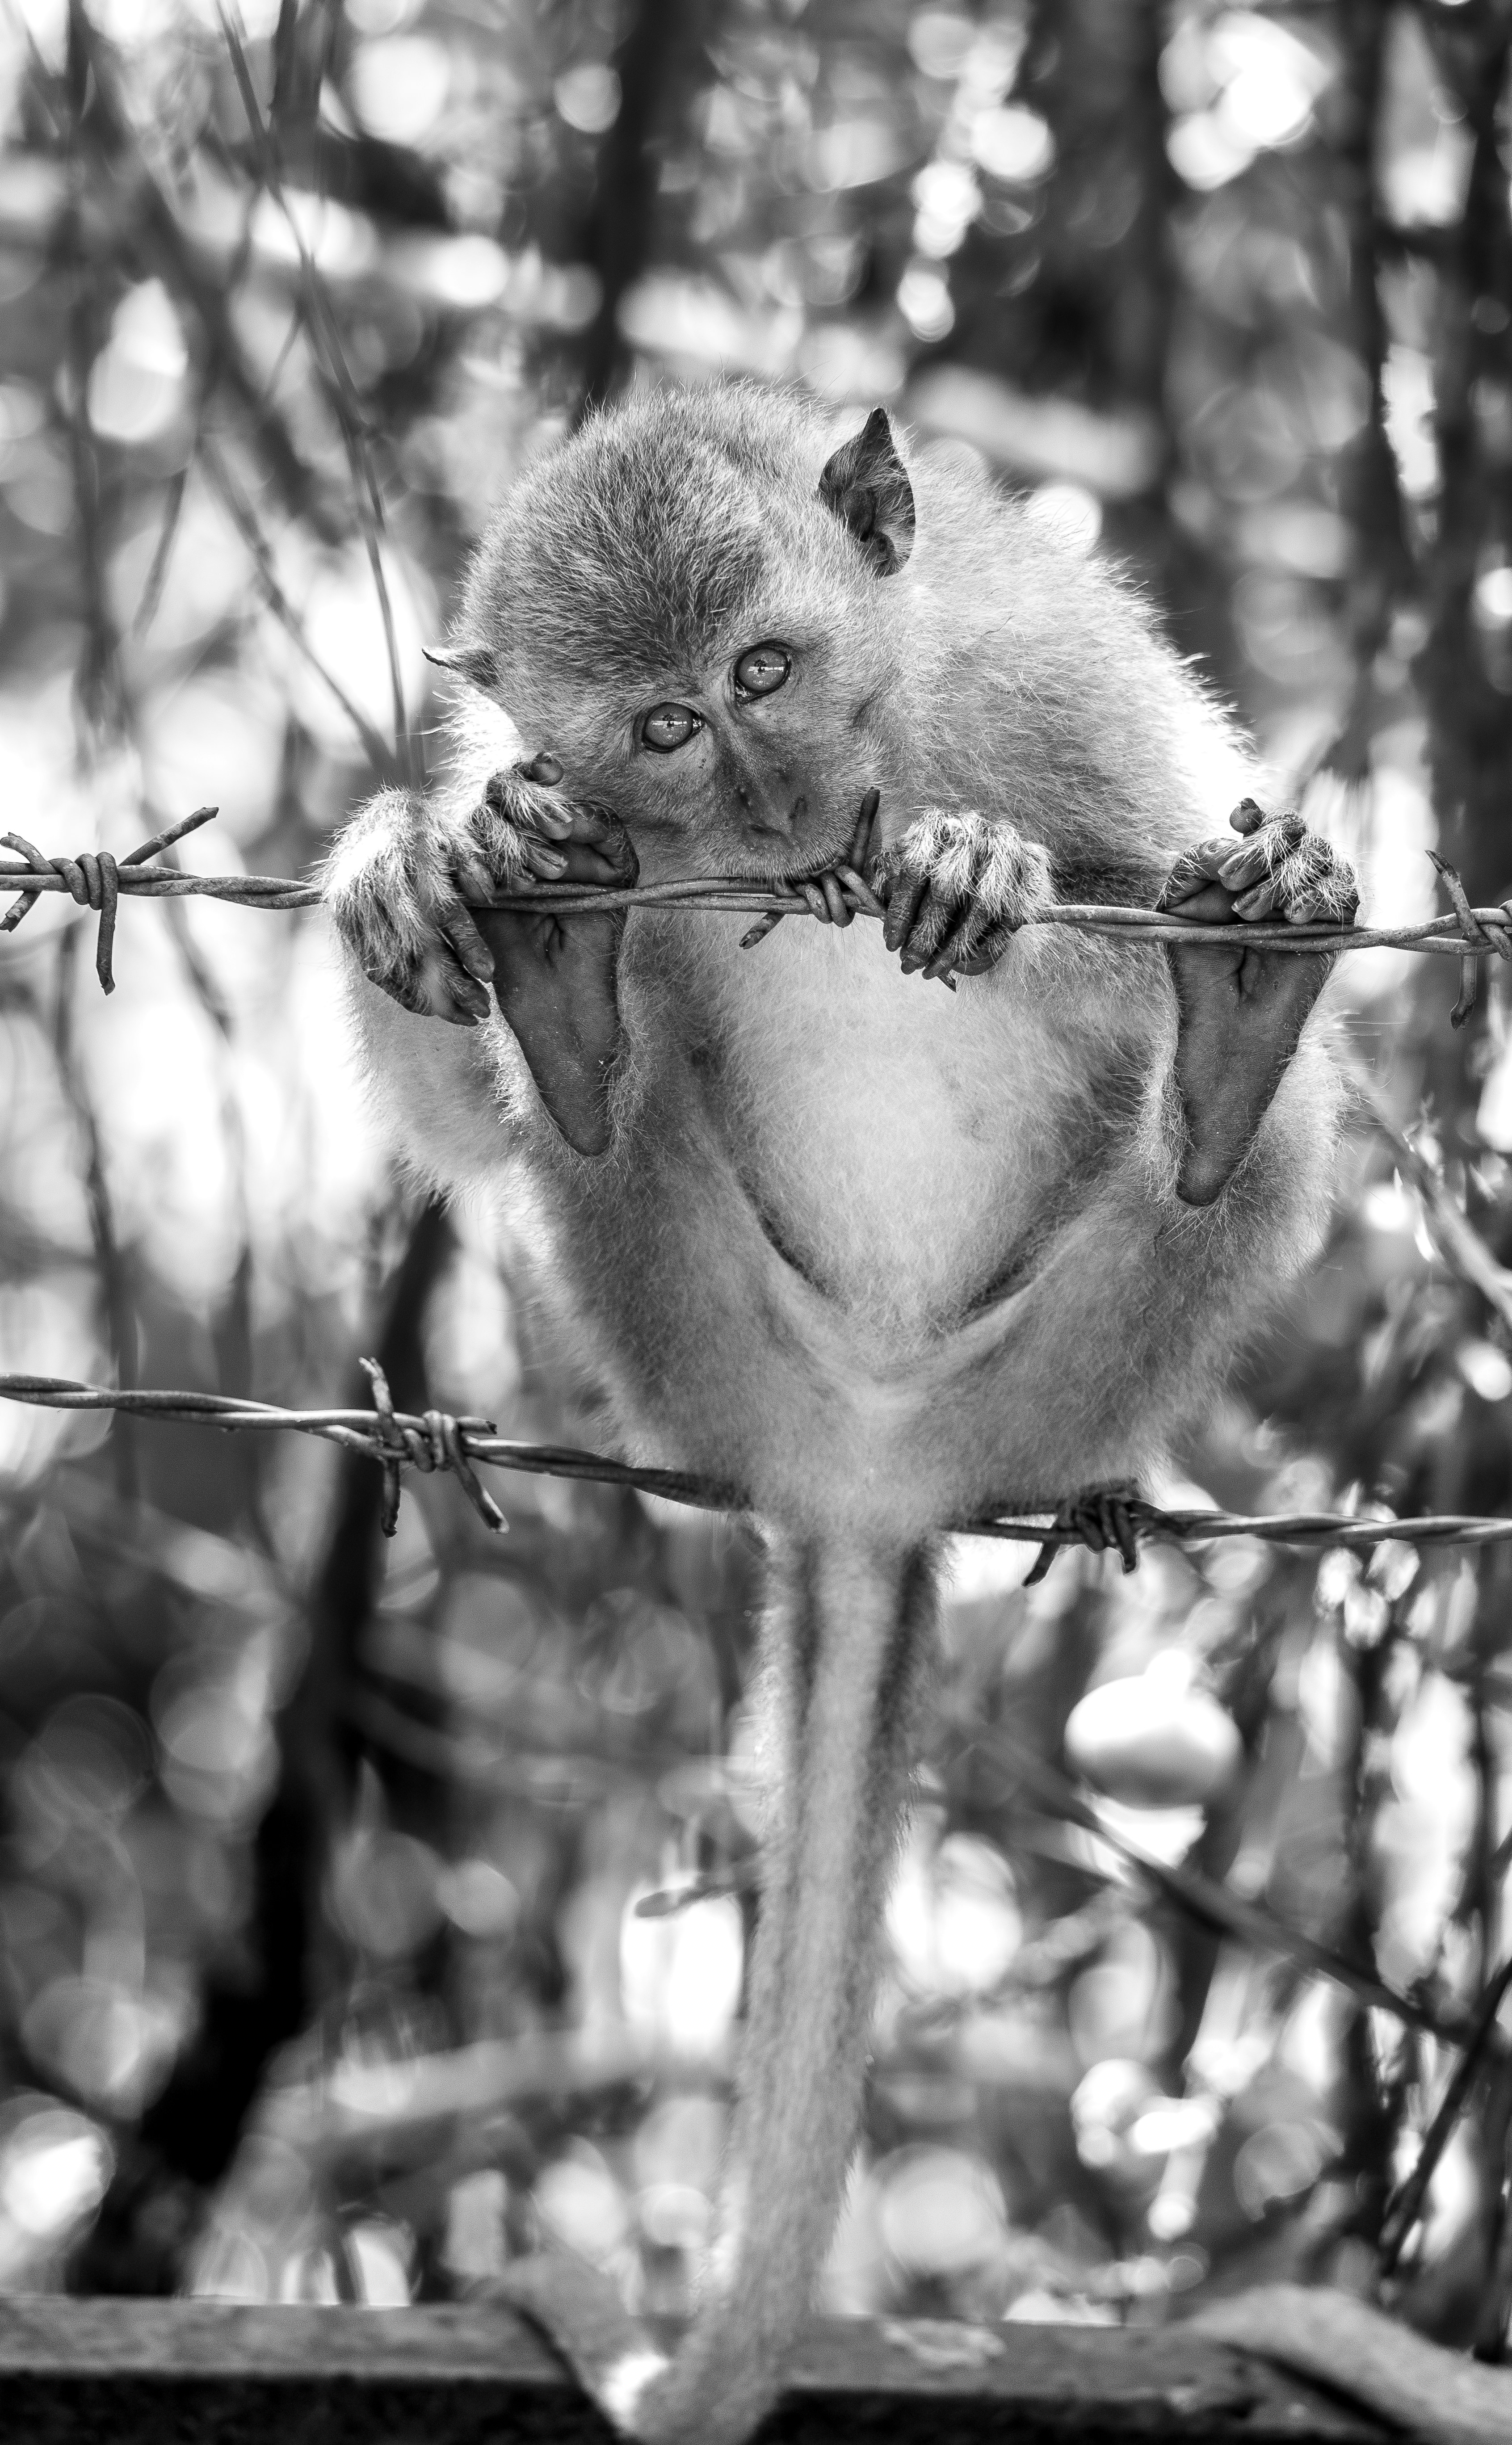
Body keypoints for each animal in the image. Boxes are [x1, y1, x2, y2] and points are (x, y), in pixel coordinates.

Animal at [323, 383, 1357, 2445]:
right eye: (663, 729)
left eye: (764, 669)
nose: (774, 802)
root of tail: (875, 1476)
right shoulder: (553, 775)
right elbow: (468, 1100)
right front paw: (412, 866)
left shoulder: (1055, 676)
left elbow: (1134, 863)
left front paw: (981, 868)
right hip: (698, 1352)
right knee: (579, 1119)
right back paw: (575, 1025)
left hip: (1045, 1385)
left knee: (1264, 1159)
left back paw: (1228, 1063)